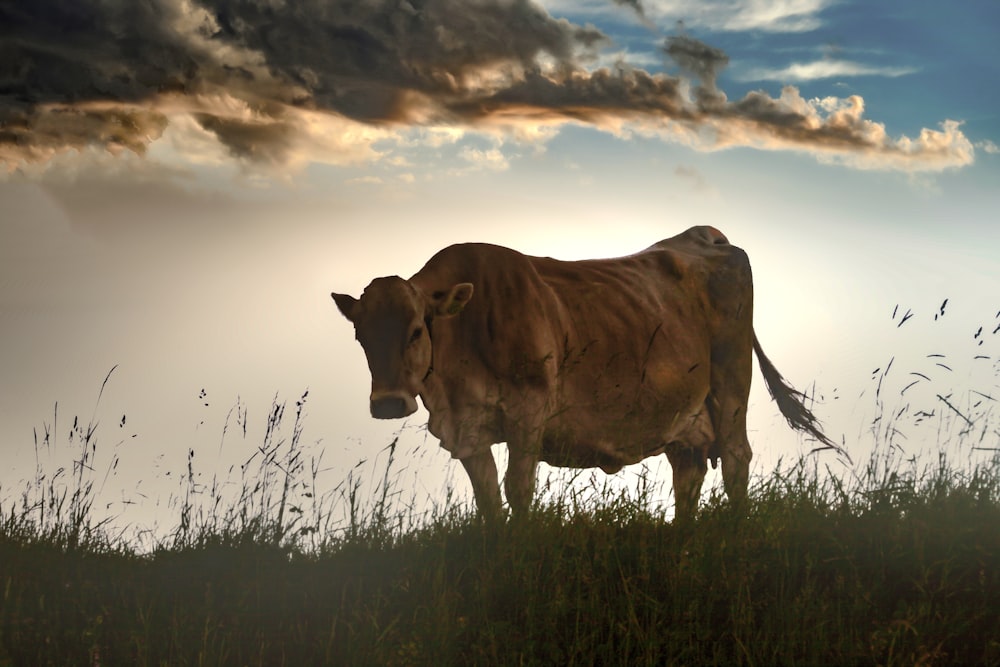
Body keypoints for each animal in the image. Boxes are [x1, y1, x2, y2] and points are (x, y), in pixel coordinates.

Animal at [332, 224, 840, 520]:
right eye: (360, 336)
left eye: (417, 330)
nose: (389, 403)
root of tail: (706, 234)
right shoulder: (467, 429)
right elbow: (488, 500)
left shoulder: (528, 411)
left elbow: (518, 489)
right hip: (682, 414)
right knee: (688, 473)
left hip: (731, 385)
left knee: (735, 461)